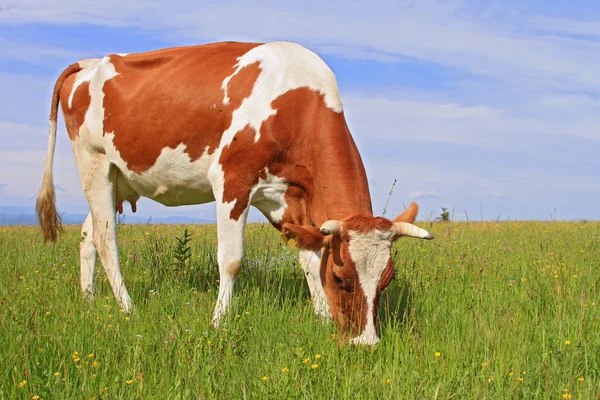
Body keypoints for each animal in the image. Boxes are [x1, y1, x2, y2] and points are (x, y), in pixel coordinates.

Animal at [36, 41, 432, 346]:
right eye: (341, 278)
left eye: (387, 279)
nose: (365, 343)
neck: (296, 101)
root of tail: (90, 63)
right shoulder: (231, 180)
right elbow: (232, 260)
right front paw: (218, 323)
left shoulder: (285, 197)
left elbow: (309, 255)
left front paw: (320, 318)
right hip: (95, 166)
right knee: (106, 241)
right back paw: (127, 308)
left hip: (120, 178)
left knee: (88, 235)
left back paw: (89, 302)